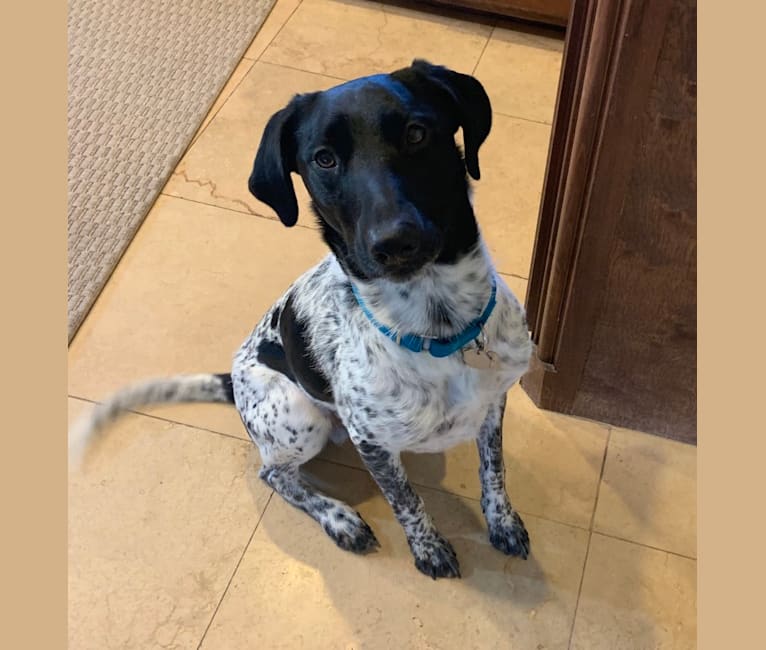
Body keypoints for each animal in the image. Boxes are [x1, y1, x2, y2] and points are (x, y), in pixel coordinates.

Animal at [75, 59, 536, 576]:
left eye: (417, 133)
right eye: (324, 160)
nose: (395, 242)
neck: (439, 328)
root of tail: (232, 380)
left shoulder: (494, 404)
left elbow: (493, 470)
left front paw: (502, 521)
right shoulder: (370, 442)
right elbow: (406, 501)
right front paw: (428, 547)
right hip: (300, 416)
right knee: (273, 473)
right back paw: (339, 518)